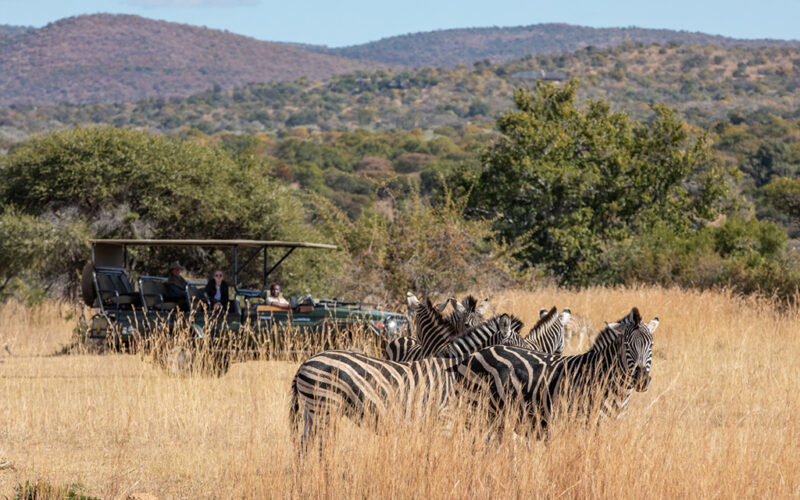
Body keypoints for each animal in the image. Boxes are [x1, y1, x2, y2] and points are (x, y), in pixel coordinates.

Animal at [289, 313, 523, 449]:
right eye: (520, 344)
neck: (457, 372)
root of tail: (305, 362)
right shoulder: (445, 420)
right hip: (325, 406)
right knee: (319, 447)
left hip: (312, 410)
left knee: (303, 446)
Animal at [455, 307, 658, 438]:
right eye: (626, 345)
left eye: (651, 345)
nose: (641, 380)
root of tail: (476, 353)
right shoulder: (586, 425)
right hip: (478, 412)